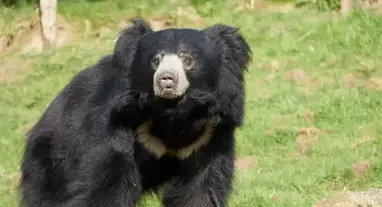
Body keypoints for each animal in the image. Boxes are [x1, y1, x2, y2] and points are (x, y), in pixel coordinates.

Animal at [20, 18, 254, 206]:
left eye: (188, 60)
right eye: (155, 60)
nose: (166, 80)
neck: (173, 113)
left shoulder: (208, 136)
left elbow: (199, 190)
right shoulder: (117, 125)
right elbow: (105, 185)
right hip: (52, 161)